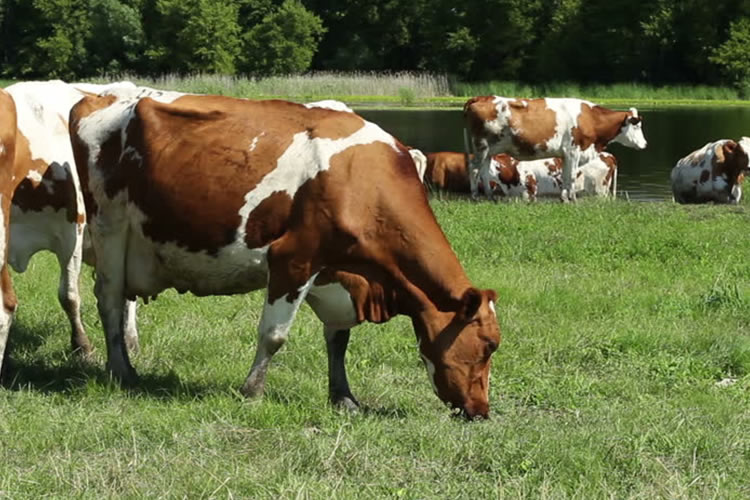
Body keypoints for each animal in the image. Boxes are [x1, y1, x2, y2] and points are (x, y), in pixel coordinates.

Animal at [67, 91, 502, 418]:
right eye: (488, 345)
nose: (481, 410)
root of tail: (100, 97)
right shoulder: (294, 258)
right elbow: (274, 335)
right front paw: (252, 390)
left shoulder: (334, 272)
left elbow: (338, 338)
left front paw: (343, 397)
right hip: (110, 228)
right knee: (109, 300)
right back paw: (122, 370)